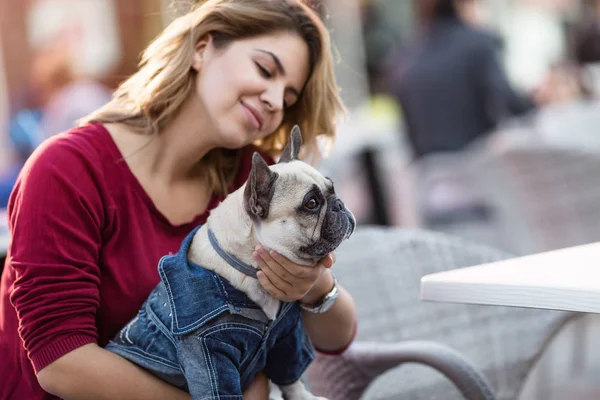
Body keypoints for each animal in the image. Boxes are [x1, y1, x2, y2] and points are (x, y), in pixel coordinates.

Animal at [106, 126, 356, 400]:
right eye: (311, 204)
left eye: (333, 188)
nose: (340, 205)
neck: (250, 270)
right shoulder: (209, 353)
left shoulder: (286, 337)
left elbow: (291, 376)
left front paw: (303, 397)